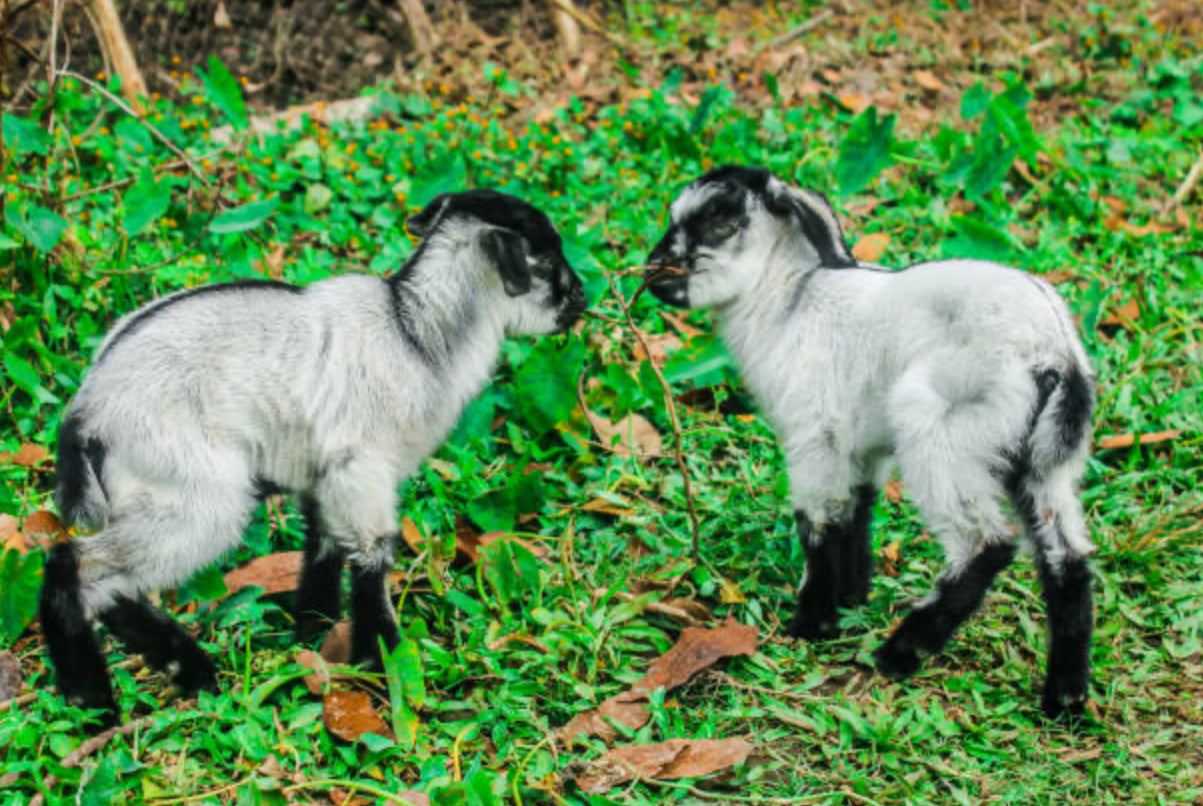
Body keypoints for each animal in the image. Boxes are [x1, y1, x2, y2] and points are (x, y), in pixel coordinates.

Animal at [40, 189, 586, 727]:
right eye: (547, 262)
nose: (581, 299)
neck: (418, 337)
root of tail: (86, 411)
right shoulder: (361, 467)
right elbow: (372, 554)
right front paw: (383, 665)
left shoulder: (325, 473)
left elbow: (324, 544)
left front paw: (313, 633)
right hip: (192, 490)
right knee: (75, 561)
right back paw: (94, 700)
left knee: (112, 586)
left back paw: (179, 671)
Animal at [644, 165, 1096, 718]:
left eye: (719, 223)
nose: (653, 270)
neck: (787, 303)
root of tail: (1053, 355)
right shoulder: (861, 446)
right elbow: (855, 513)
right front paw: (853, 598)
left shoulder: (815, 434)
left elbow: (817, 523)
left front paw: (813, 623)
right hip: (1043, 464)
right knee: (1067, 560)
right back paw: (1064, 697)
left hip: (938, 428)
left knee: (985, 544)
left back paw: (900, 652)